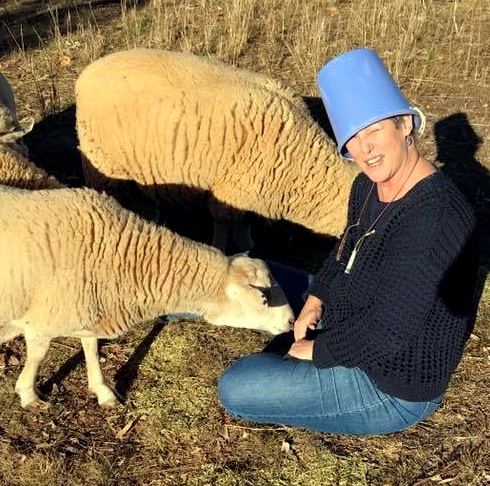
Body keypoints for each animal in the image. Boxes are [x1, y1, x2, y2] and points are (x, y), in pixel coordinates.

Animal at [0, 184, 294, 408]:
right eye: (264, 296)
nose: (293, 321)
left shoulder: (89, 307)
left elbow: (91, 347)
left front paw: (102, 389)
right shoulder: (43, 318)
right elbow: (38, 355)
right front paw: (28, 394)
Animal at [75, 48, 357, 251]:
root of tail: (86, 74)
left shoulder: (249, 192)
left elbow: (244, 221)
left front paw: (246, 244)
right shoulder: (230, 191)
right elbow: (224, 224)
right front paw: (223, 248)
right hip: (102, 164)